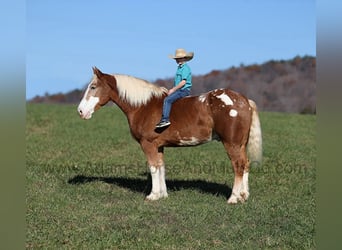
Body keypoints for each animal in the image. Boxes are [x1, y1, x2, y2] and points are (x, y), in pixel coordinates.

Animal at [77, 67, 264, 204]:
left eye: (93, 87)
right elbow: (161, 167)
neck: (143, 106)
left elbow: (153, 167)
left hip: (231, 143)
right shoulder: (158, 146)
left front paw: (152, 196)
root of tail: (244, 100)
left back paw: (233, 198)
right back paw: (244, 196)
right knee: (246, 164)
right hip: (241, 144)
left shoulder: (148, 144)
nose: (80, 111)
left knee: (238, 166)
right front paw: (162, 194)